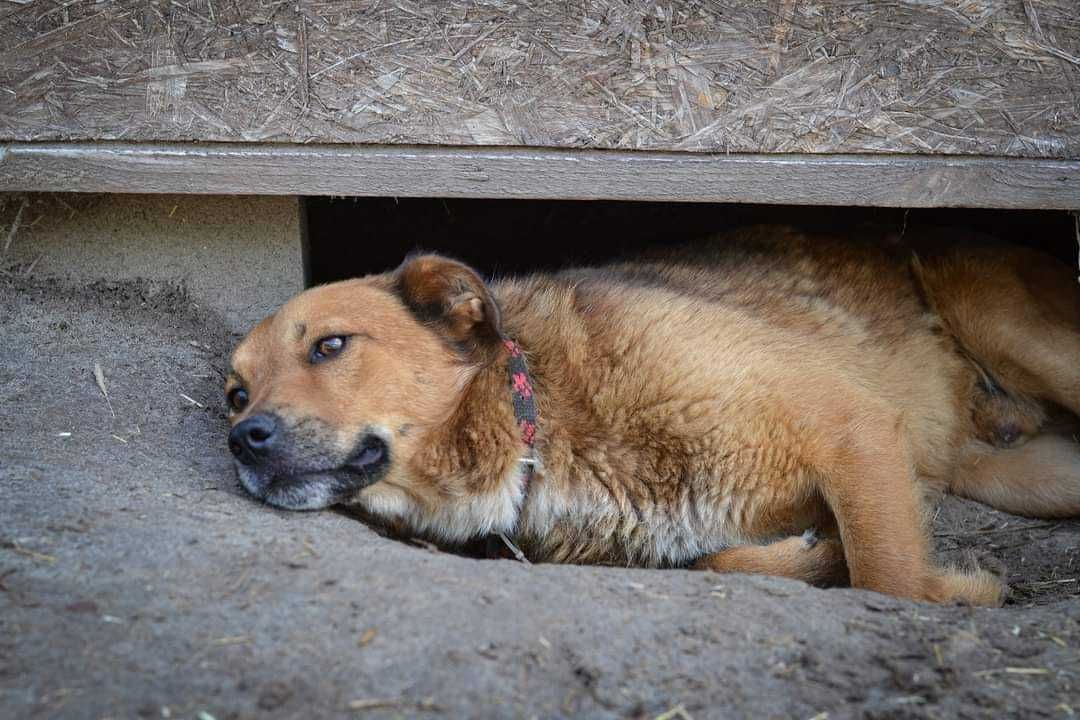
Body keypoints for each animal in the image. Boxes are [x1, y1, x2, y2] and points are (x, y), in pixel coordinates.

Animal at [223, 223, 1075, 604]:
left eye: (330, 345)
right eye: (235, 392)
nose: (243, 438)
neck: (541, 423)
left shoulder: (850, 424)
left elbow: (887, 577)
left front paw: (951, 594)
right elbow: (716, 560)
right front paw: (814, 557)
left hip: (1003, 321)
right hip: (1023, 474)